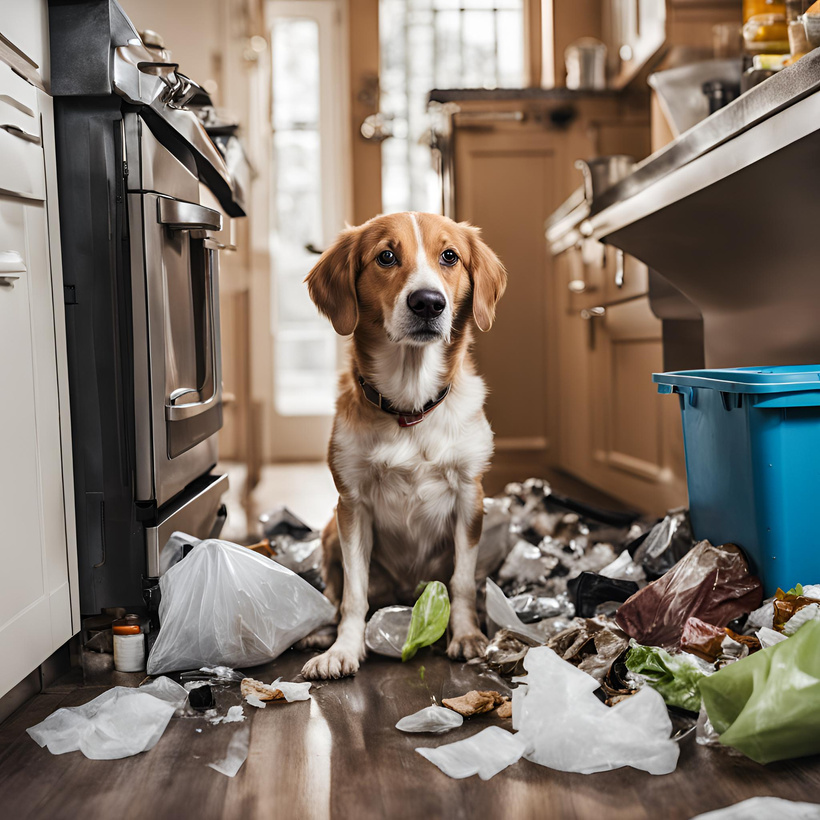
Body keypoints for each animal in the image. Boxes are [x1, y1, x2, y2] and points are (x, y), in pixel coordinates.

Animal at [302, 210, 506, 680]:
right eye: (386, 256)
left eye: (449, 256)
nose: (428, 302)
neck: (411, 409)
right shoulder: (352, 505)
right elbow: (353, 593)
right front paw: (344, 649)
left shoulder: (470, 497)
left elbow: (462, 582)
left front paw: (467, 635)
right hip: (330, 529)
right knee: (336, 594)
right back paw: (323, 631)